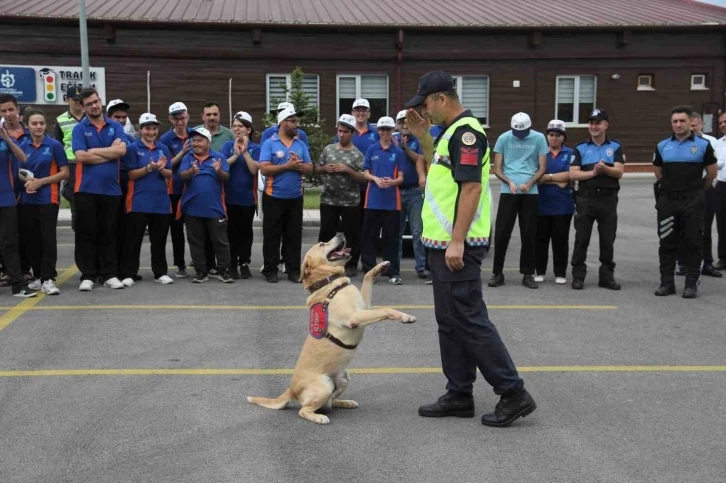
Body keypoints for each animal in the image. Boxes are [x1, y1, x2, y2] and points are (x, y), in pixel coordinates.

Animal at [249, 233, 416, 426]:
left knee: (329, 402)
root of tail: (291, 389)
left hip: (343, 378)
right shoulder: (355, 317)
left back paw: (345, 403)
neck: (330, 284)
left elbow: (367, 277)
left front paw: (380, 267)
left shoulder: (364, 308)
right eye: (322, 243)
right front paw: (405, 317)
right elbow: (386, 310)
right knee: (304, 410)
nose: (340, 233)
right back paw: (318, 417)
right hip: (324, 385)